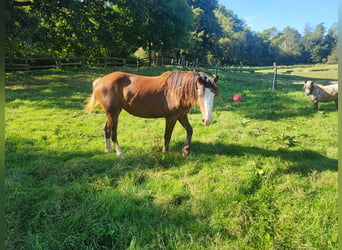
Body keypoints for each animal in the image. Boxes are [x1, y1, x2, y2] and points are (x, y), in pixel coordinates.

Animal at [85, 70, 219, 156]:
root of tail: (100, 81)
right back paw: (119, 153)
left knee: (106, 129)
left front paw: (185, 150)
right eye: (200, 94)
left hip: (111, 113)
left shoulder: (181, 116)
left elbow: (190, 130)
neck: (176, 91)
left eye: (213, 95)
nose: (207, 120)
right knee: (113, 132)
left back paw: (108, 150)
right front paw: (165, 152)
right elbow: (167, 135)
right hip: (113, 113)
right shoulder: (171, 117)